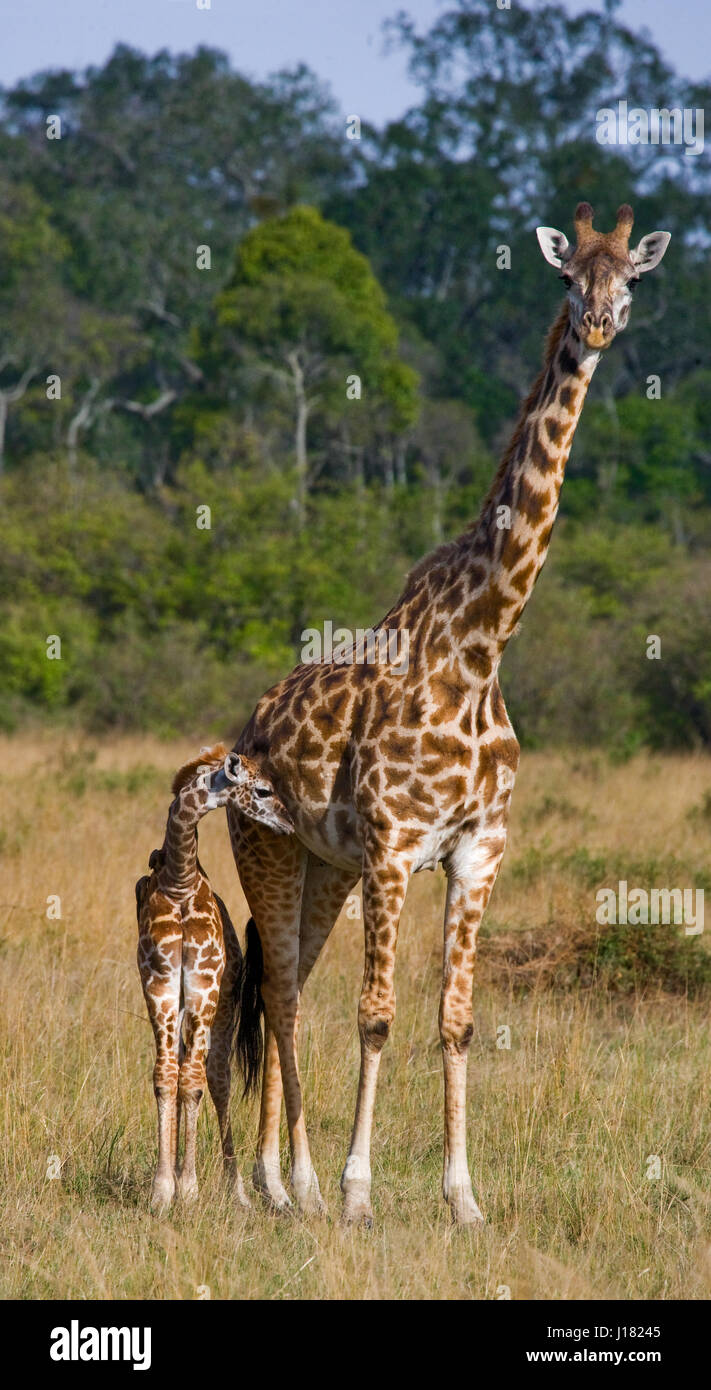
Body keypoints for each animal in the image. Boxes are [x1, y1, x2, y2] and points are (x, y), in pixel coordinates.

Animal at [136, 745, 291, 1212]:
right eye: (263, 790)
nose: (290, 824)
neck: (180, 881)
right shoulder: (160, 985)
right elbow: (166, 1076)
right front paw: (162, 1189)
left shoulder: (203, 986)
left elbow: (193, 1082)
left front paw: (187, 1188)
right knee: (187, 1067)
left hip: (220, 1008)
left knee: (216, 1079)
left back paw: (236, 1191)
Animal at [229, 201, 672, 1223]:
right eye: (565, 278)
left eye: (629, 280)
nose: (596, 329)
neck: (480, 649)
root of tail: (247, 725)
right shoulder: (395, 848)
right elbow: (377, 1016)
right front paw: (358, 1192)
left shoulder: (477, 851)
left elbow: (457, 1022)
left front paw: (462, 1198)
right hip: (269, 850)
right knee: (280, 992)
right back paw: (280, 1185)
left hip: (326, 868)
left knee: (287, 986)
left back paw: (289, 1183)